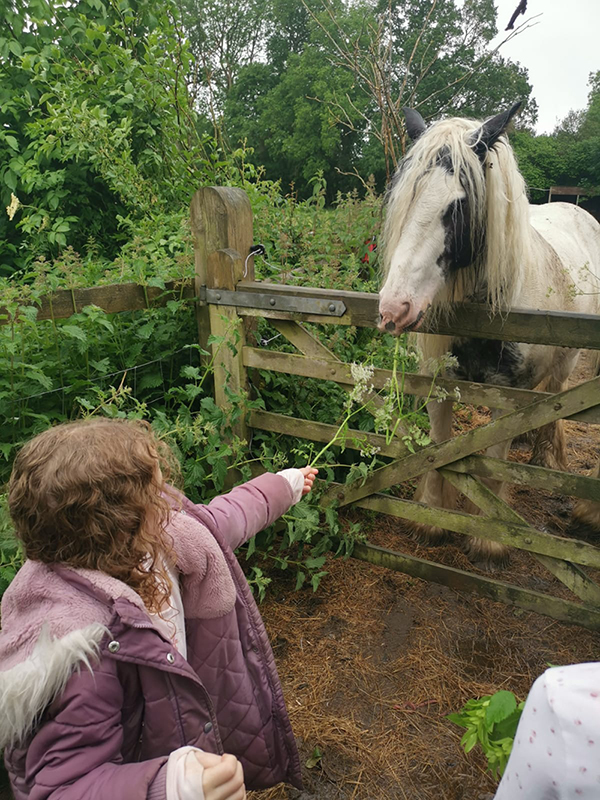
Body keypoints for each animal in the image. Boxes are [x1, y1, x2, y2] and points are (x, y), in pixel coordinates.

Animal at [378, 102, 600, 565]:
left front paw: (489, 540)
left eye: (457, 207)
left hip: (568, 361)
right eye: (406, 199)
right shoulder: (440, 384)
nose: (394, 308)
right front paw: (430, 518)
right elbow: (439, 449)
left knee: (554, 399)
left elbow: (497, 459)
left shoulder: (510, 398)